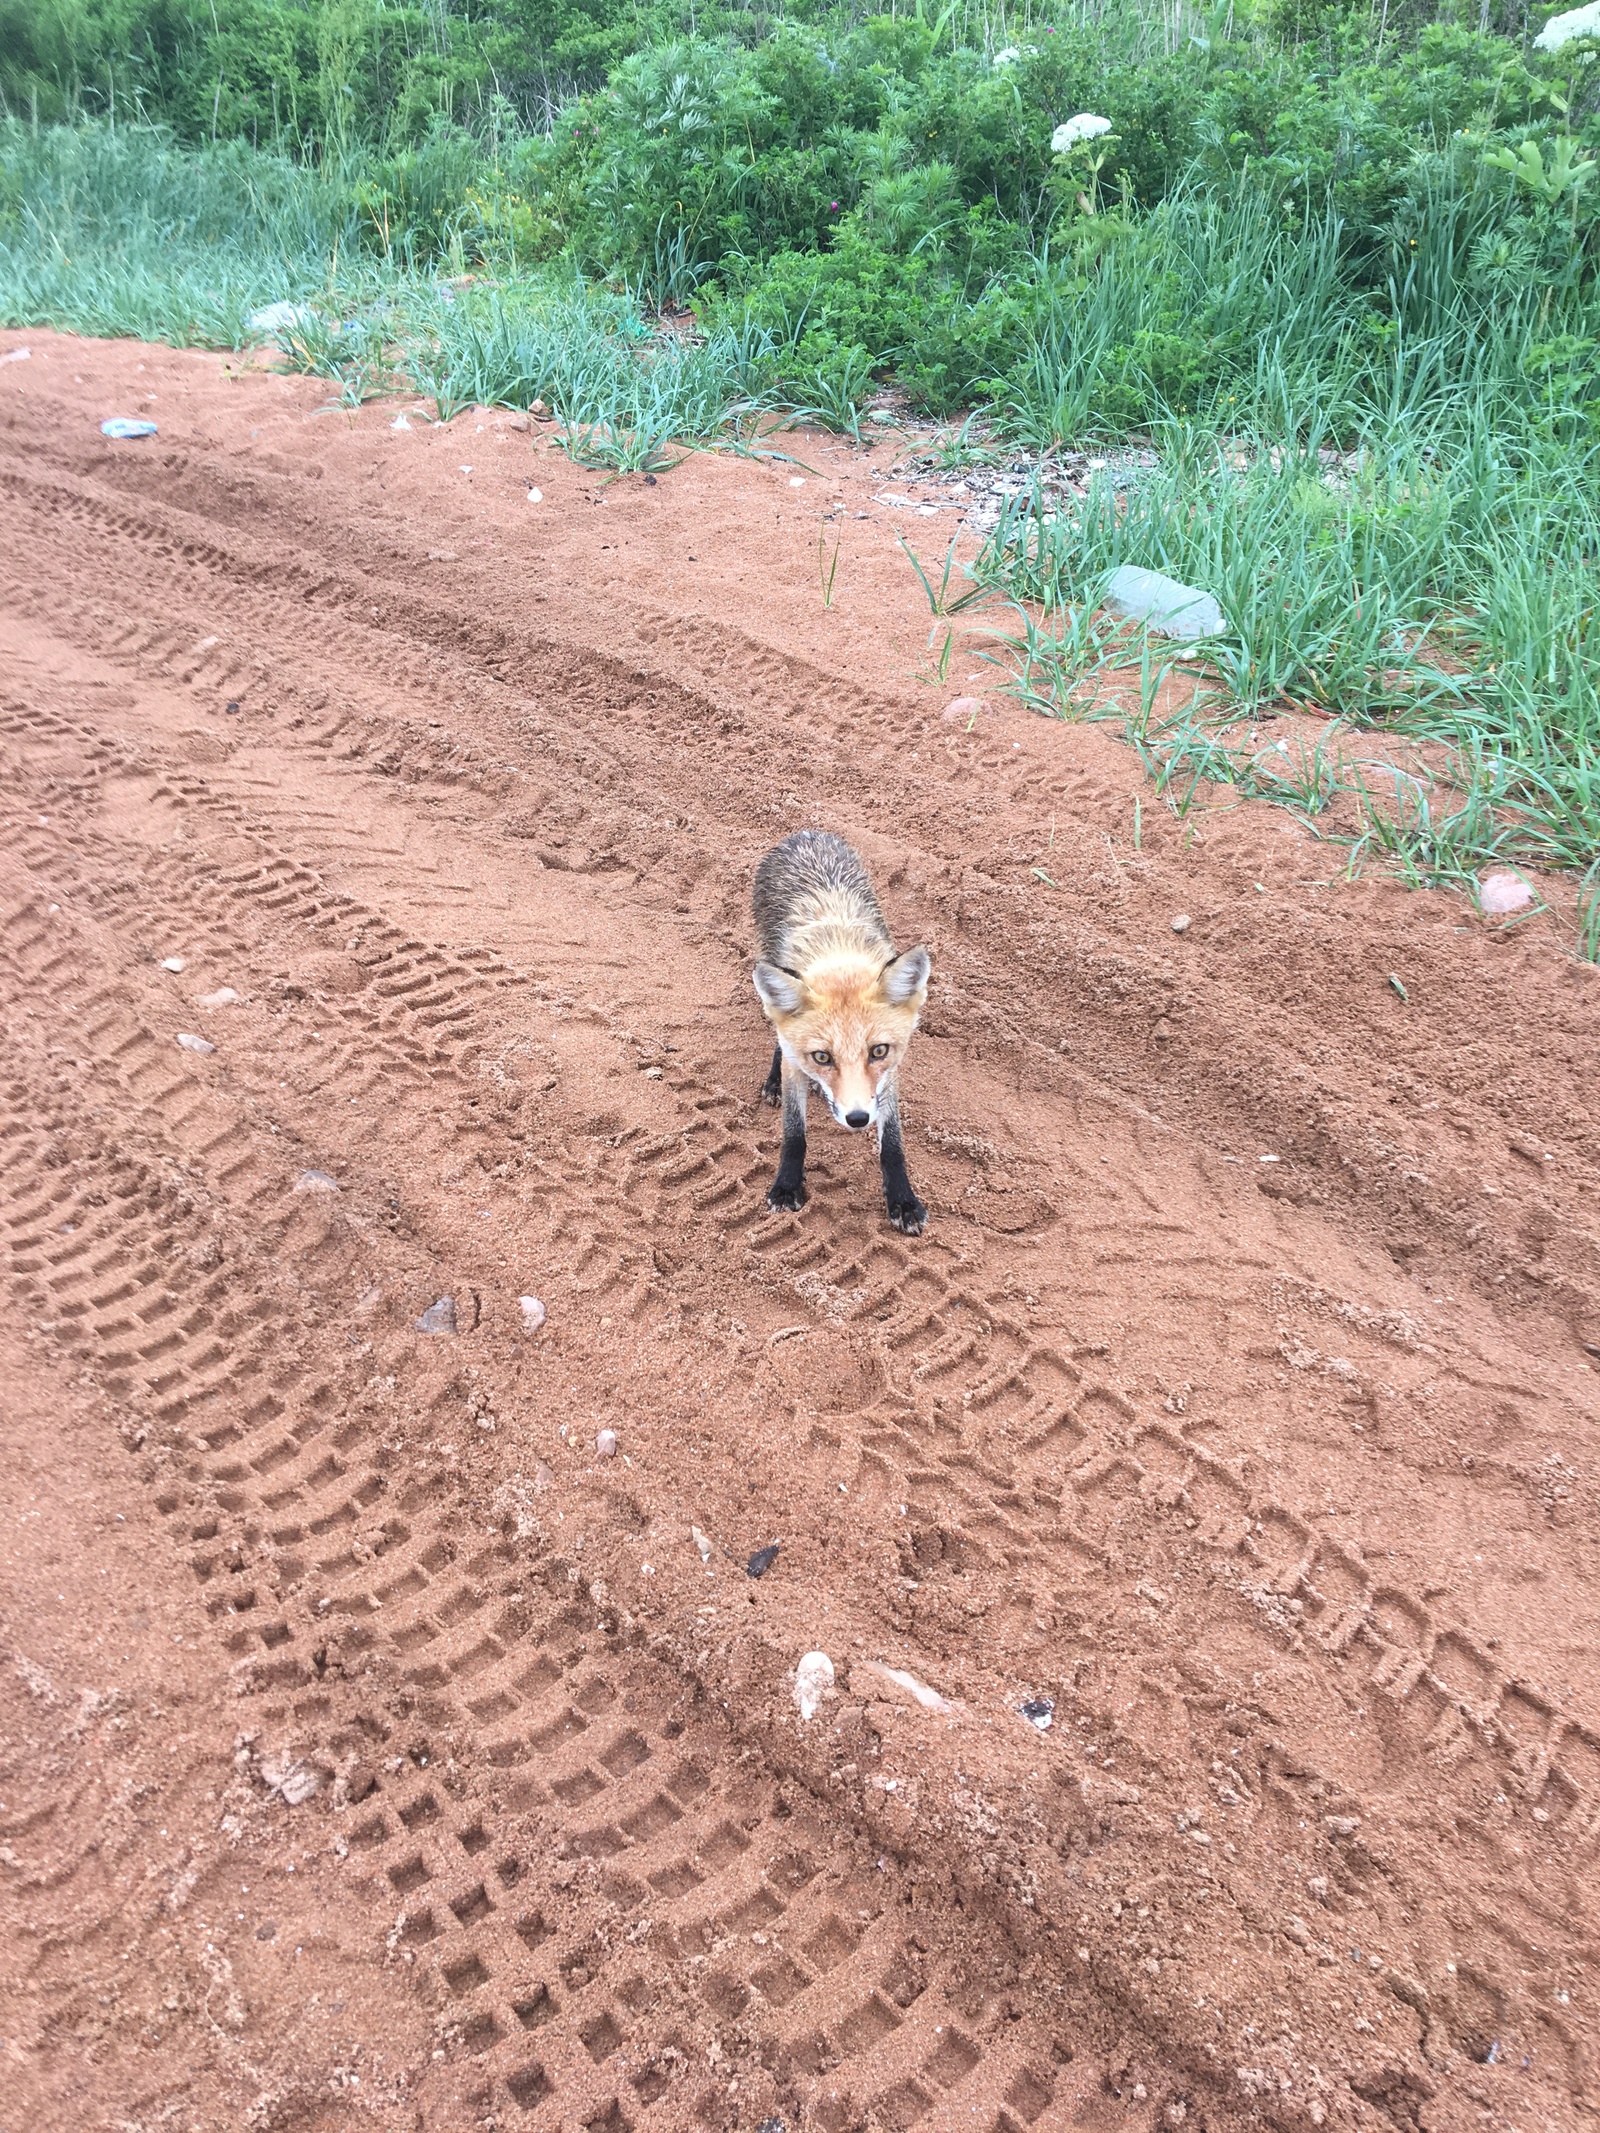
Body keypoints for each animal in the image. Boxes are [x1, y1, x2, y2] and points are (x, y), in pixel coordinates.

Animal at [755, 831, 934, 1237]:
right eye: (822, 1057)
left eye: (878, 1051)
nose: (857, 1119)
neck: (838, 952)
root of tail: (806, 833)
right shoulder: (798, 1063)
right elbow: (794, 1132)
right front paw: (787, 1185)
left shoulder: (889, 1071)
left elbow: (893, 1142)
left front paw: (902, 1200)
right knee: (779, 1037)